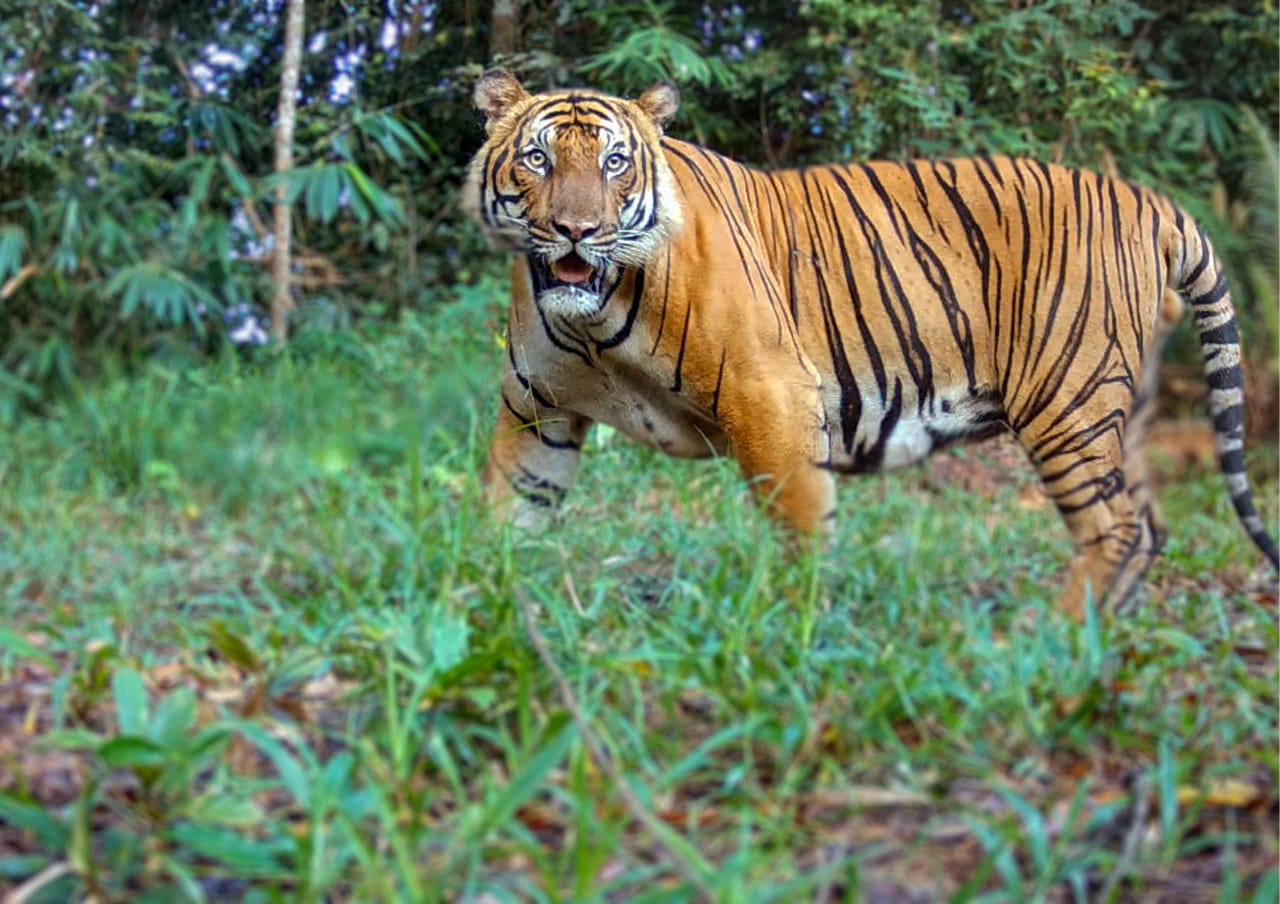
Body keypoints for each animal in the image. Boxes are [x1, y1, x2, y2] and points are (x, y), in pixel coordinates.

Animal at [460, 69, 1279, 620]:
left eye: (614, 163)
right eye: (537, 159)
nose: (576, 229)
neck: (591, 321)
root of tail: (1151, 201)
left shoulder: (772, 394)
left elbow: (799, 526)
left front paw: (792, 635)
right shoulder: (535, 410)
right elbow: (509, 516)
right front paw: (491, 610)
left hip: (1069, 402)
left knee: (1116, 529)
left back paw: (1057, 641)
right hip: (1116, 410)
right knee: (1148, 526)